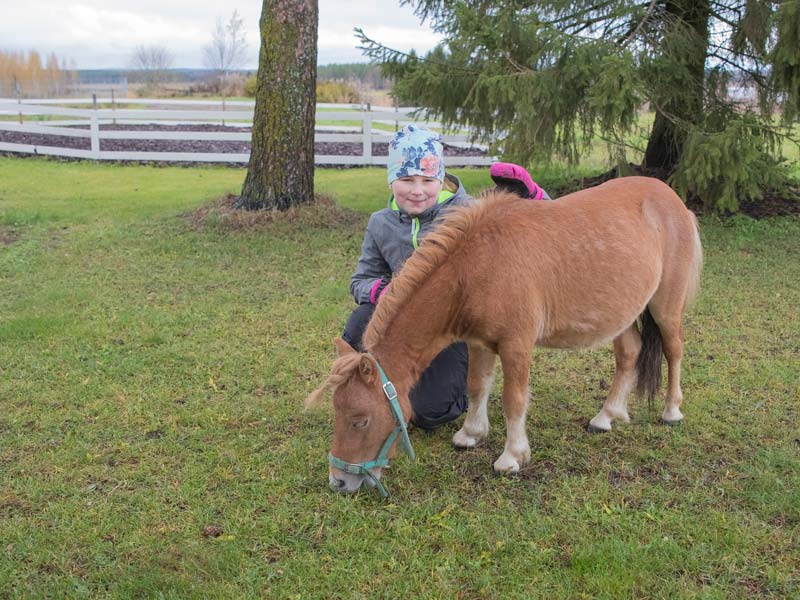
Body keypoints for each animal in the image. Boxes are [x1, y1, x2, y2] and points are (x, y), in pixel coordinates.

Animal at [306, 176, 700, 494]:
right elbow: (477, 386)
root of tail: (670, 197)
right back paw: (607, 416)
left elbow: (514, 399)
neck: (478, 266)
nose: (338, 482)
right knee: (630, 353)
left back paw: (671, 411)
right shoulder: (479, 342)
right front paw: (470, 434)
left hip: (665, 307)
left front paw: (511, 457)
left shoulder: (516, 346)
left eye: (360, 420)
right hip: (623, 313)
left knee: (674, 349)